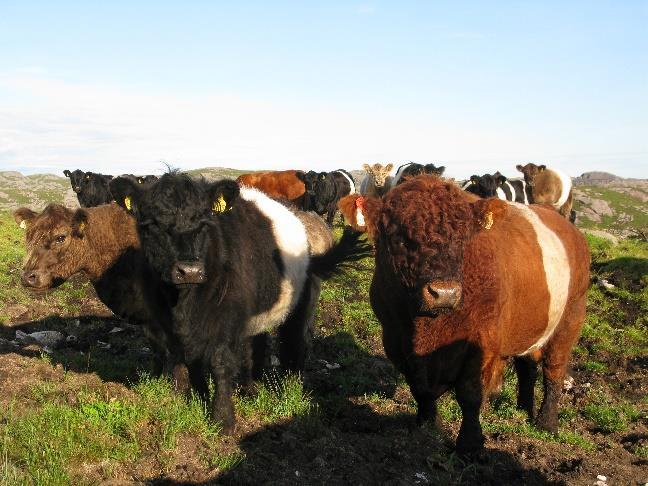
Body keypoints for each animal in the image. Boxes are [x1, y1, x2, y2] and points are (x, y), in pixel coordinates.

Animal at [111, 173, 370, 430]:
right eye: (152, 225)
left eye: (205, 223)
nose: (189, 271)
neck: (184, 302)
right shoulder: (165, 321)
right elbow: (179, 359)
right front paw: (183, 398)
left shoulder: (226, 318)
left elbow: (221, 362)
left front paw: (222, 418)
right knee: (254, 345)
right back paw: (251, 386)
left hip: (303, 301)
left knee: (297, 340)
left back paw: (290, 387)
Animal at [336, 177, 588, 454]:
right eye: (398, 238)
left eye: (463, 239)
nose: (445, 293)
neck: (426, 327)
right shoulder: (394, 338)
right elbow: (419, 387)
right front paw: (428, 425)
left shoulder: (483, 340)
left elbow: (470, 394)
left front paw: (470, 444)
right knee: (527, 365)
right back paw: (523, 407)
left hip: (571, 316)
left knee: (554, 370)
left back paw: (546, 423)